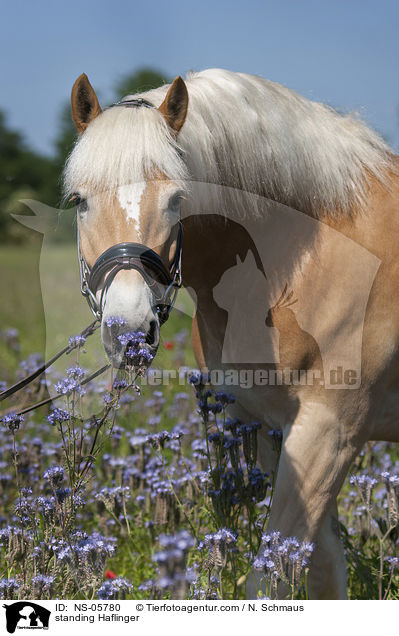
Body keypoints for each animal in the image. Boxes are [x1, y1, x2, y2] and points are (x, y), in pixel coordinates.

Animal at [65, 69, 399, 600]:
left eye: (177, 199)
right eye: (79, 201)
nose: (129, 333)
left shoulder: (330, 431)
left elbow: (270, 578)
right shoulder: (266, 426)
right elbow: (321, 570)